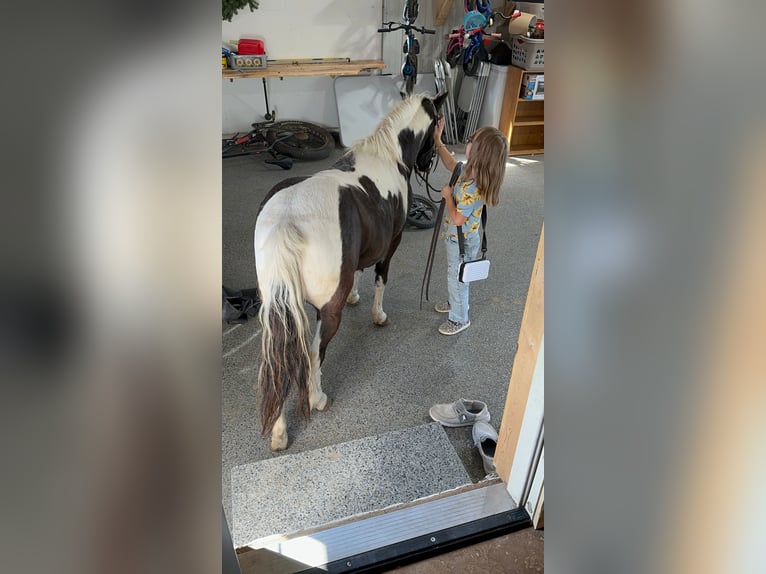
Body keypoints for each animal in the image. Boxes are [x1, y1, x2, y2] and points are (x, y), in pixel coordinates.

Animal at [254, 92, 447, 451]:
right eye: (438, 124)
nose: (428, 163)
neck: (388, 156)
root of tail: (288, 217)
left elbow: (359, 270)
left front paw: (357, 296)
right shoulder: (392, 243)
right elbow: (381, 278)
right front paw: (378, 315)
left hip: (279, 310)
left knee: (282, 358)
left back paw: (279, 433)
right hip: (328, 311)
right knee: (313, 354)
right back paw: (317, 400)